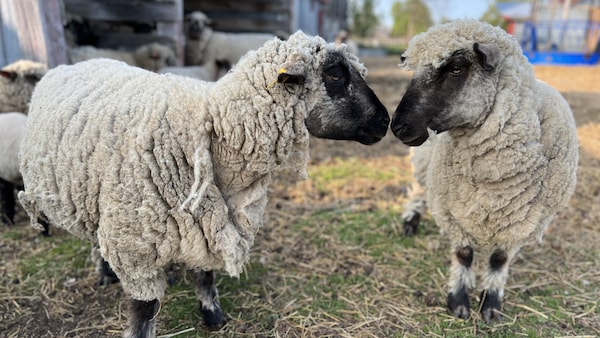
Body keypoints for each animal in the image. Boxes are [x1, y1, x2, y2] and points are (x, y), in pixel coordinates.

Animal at [18, 30, 390, 336]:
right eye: (335, 75)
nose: (385, 122)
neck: (213, 127)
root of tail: (71, 63)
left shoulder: (211, 223)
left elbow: (206, 274)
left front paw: (212, 314)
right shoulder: (133, 244)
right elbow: (144, 311)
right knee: (96, 237)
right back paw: (104, 271)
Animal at [392, 19, 580, 324]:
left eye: (456, 68)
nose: (398, 127)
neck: (493, 175)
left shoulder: (524, 221)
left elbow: (499, 260)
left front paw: (491, 305)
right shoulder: (450, 210)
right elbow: (464, 254)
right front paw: (458, 302)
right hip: (422, 163)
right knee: (417, 190)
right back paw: (411, 221)